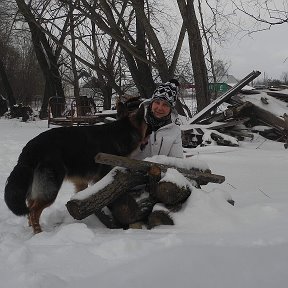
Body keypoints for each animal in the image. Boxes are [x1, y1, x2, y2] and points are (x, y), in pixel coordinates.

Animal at [4, 104, 148, 233]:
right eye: (147, 125)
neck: (121, 132)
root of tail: (30, 148)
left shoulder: (81, 183)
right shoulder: (103, 177)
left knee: (30, 208)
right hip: (51, 190)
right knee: (33, 211)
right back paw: (39, 233)